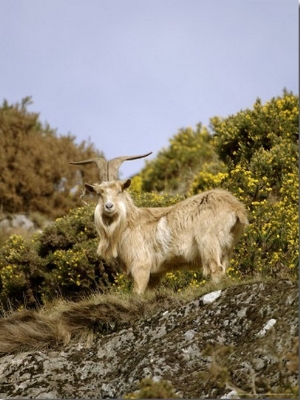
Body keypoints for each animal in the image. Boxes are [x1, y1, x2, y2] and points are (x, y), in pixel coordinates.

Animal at [71, 152, 248, 294]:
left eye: (120, 190)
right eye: (99, 193)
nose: (109, 206)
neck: (130, 222)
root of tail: (235, 207)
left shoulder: (141, 266)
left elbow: (137, 293)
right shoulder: (154, 275)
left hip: (209, 242)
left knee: (215, 269)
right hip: (226, 247)